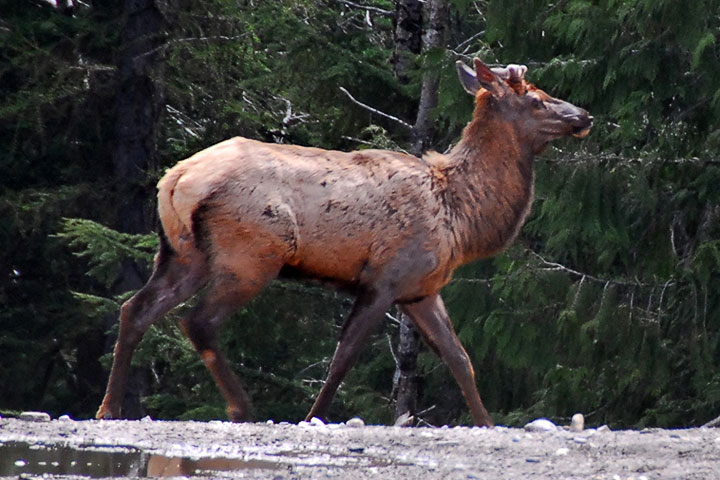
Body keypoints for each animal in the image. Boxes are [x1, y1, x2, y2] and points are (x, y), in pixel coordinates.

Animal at [95, 57, 592, 428]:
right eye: (537, 99)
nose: (584, 116)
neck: (462, 217)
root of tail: (174, 181)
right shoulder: (383, 280)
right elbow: (343, 357)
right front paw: (312, 416)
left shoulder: (421, 289)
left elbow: (460, 358)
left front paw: (486, 423)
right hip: (250, 254)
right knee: (198, 322)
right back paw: (242, 407)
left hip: (182, 254)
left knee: (134, 309)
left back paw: (109, 407)